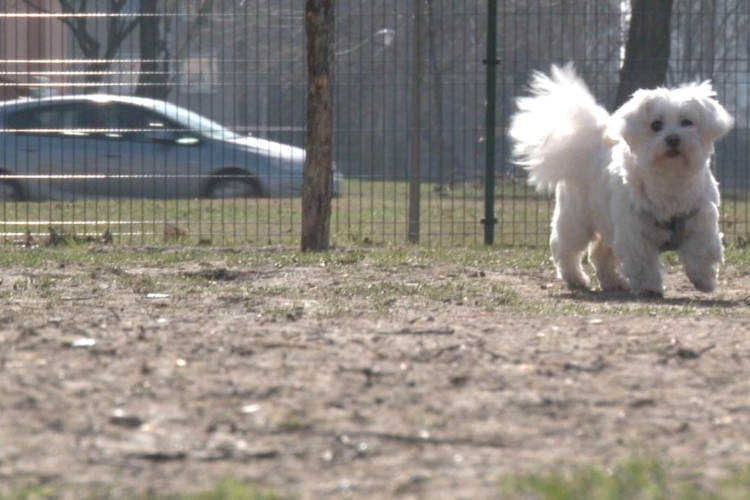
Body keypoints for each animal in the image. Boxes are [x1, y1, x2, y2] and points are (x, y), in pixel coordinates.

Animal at [508, 64, 734, 297]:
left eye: (687, 122)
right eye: (656, 125)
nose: (673, 138)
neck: (671, 181)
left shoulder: (700, 223)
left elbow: (702, 252)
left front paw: (704, 280)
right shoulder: (634, 234)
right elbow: (643, 263)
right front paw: (649, 288)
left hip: (608, 225)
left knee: (600, 254)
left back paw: (613, 282)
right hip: (576, 221)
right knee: (566, 250)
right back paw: (576, 279)